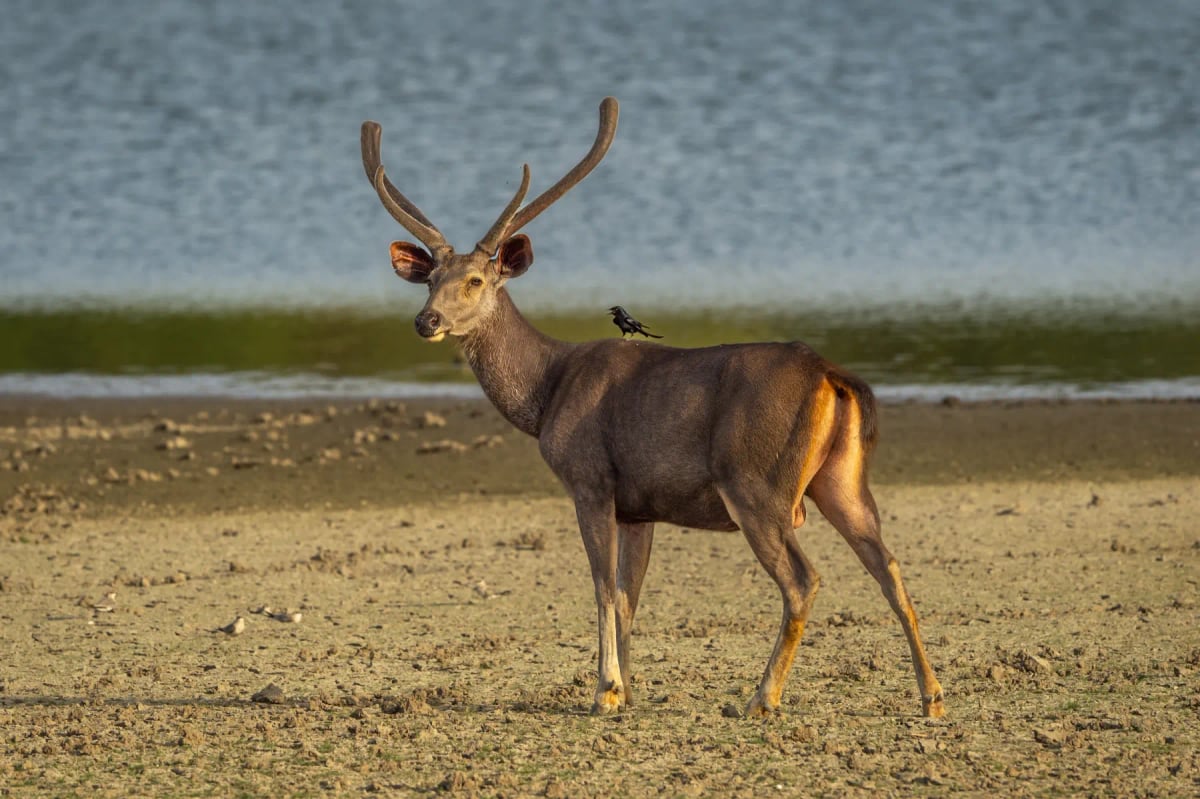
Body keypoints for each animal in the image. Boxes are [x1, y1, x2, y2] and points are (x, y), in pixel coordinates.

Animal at [360, 97, 946, 719]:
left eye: (474, 280)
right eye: (429, 280)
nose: (427, 321)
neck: (547, 393)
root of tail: (830, 375)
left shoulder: (590, 479)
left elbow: (600, 586)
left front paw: (604, 691)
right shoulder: (639, 506)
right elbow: (627, 594)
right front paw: (630, 688)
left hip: (755, 482)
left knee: (803, 579)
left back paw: (761, 697)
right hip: (842, 478)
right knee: (887, 563)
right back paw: (932, 696)